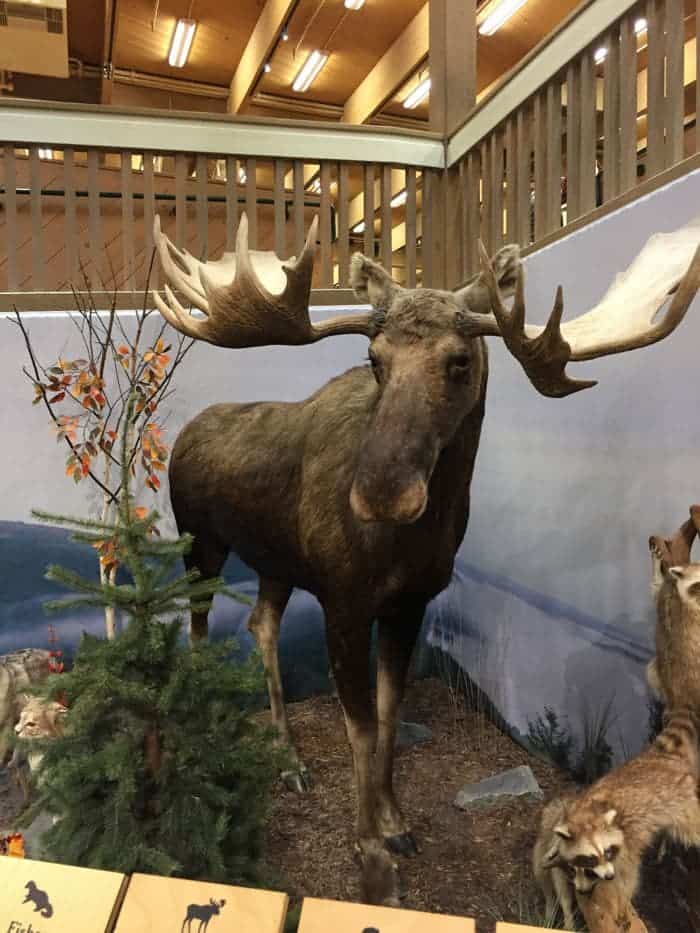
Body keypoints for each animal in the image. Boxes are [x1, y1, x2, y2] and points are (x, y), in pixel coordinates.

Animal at [540, 708, 700, 908]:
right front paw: (555, 846)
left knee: (693, 829)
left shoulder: (627, 847)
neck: (589, 815)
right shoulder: (576, 804)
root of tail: (666, 758)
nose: (609, 876)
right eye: (588, 861)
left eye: (608, 852)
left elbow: (627, 877)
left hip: (684, 803)